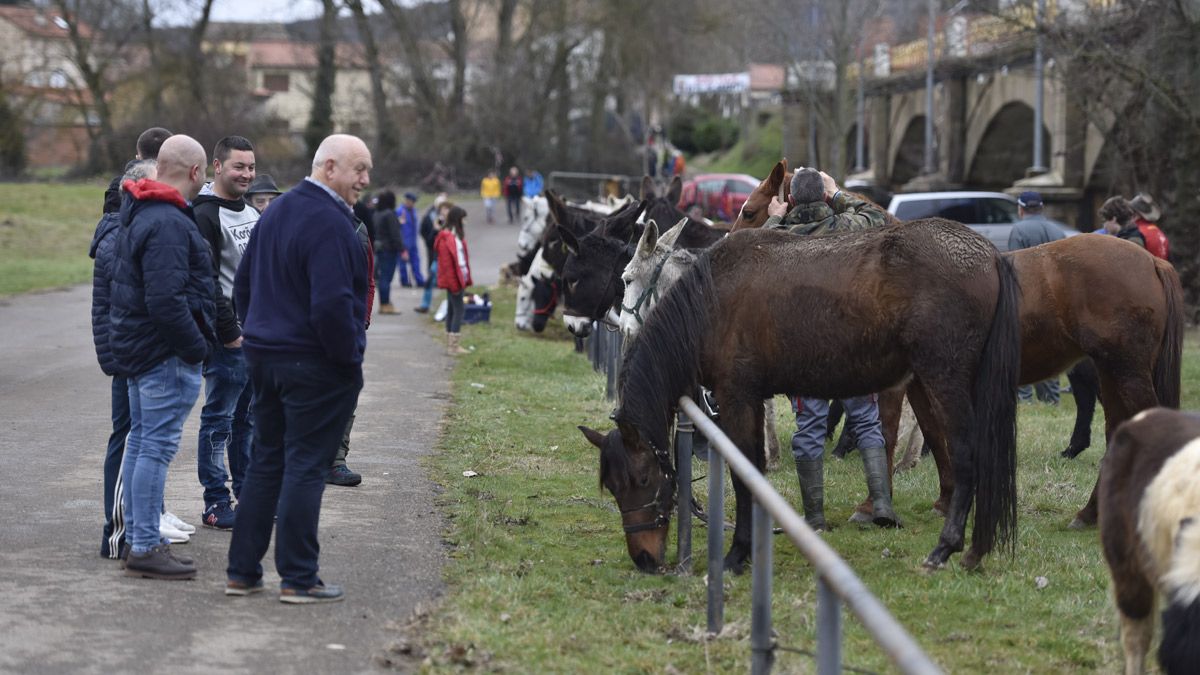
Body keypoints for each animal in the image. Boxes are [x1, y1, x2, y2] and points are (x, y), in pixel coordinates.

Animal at [585, 222, 1017, 571]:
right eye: (613, 487)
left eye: (641, 478)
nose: (643, 558)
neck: (711, 300)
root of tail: (990, 254)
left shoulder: (737, 397)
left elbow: (745, 474)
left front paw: (738, 554)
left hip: (944, 381)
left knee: (966, 457)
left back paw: (947, 547)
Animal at [729, 158, 1180, 526]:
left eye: (749, 211)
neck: (878, 266)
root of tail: (1151, 261)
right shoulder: (920, 382)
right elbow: (933, 432)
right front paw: (947, 500)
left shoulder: (893, 386)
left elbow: (888, 432)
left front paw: (872, 507)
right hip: (1110, 372)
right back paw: (1090, 513)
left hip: (1124, 372)